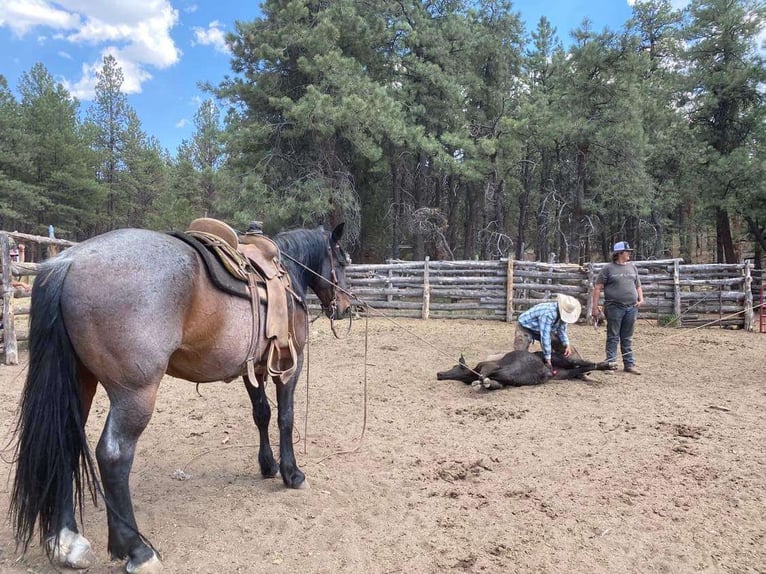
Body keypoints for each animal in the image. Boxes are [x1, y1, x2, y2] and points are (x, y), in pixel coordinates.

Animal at [8, 223, 352, 572]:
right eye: (343, 262)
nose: (346, 307)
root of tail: (69, 262)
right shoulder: (289, 365)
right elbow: (285, 417)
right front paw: (292, 473)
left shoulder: (252, 368)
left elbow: (262, 415)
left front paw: (267, 465)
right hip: (135, 395)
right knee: (113, 456)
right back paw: (137, 550)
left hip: (79, 384)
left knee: (64, 445)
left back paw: (65, 542)